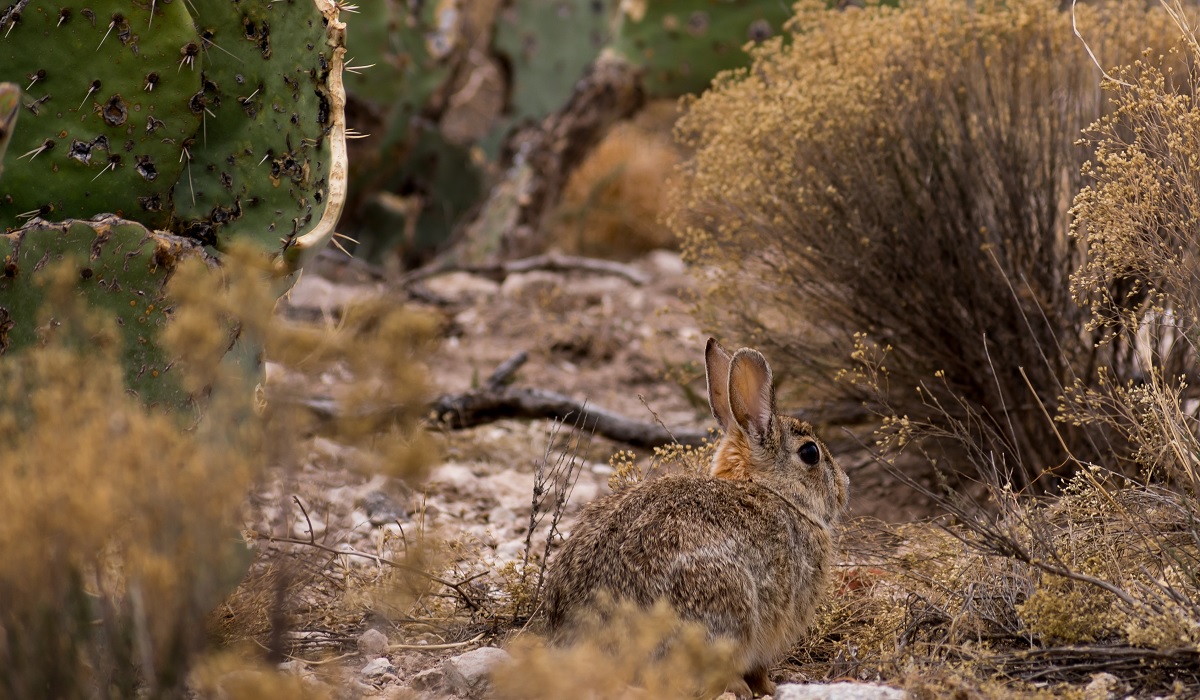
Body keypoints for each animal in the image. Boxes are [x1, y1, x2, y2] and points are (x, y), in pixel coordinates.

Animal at [544, 338, 854, 696]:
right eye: (810, 453)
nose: (845, 485)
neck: (771, 490)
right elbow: (760, 668)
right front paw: (770, 688)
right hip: (722, 602)